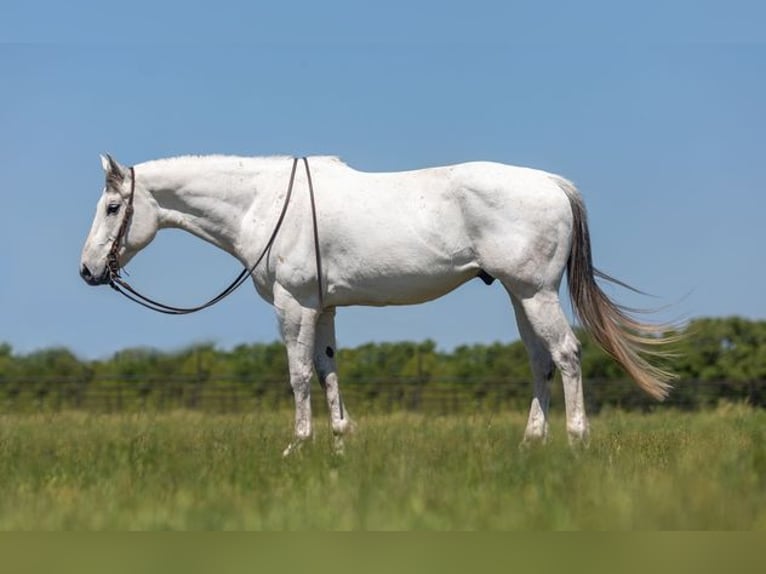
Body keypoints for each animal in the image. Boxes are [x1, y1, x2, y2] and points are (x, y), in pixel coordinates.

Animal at [80, 153, 674, 454]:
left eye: (111, 207)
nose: (87, 270)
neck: (264, 203)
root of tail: (553, 183)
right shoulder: (323, 308)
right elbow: (327, 373)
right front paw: (340, 444)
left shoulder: (293, 305)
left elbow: (298, 375)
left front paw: (298, 446)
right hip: (518, 294)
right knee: (539, 360)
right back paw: (532, 443)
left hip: (534, 292)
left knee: (567, 354)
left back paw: (576, 441)